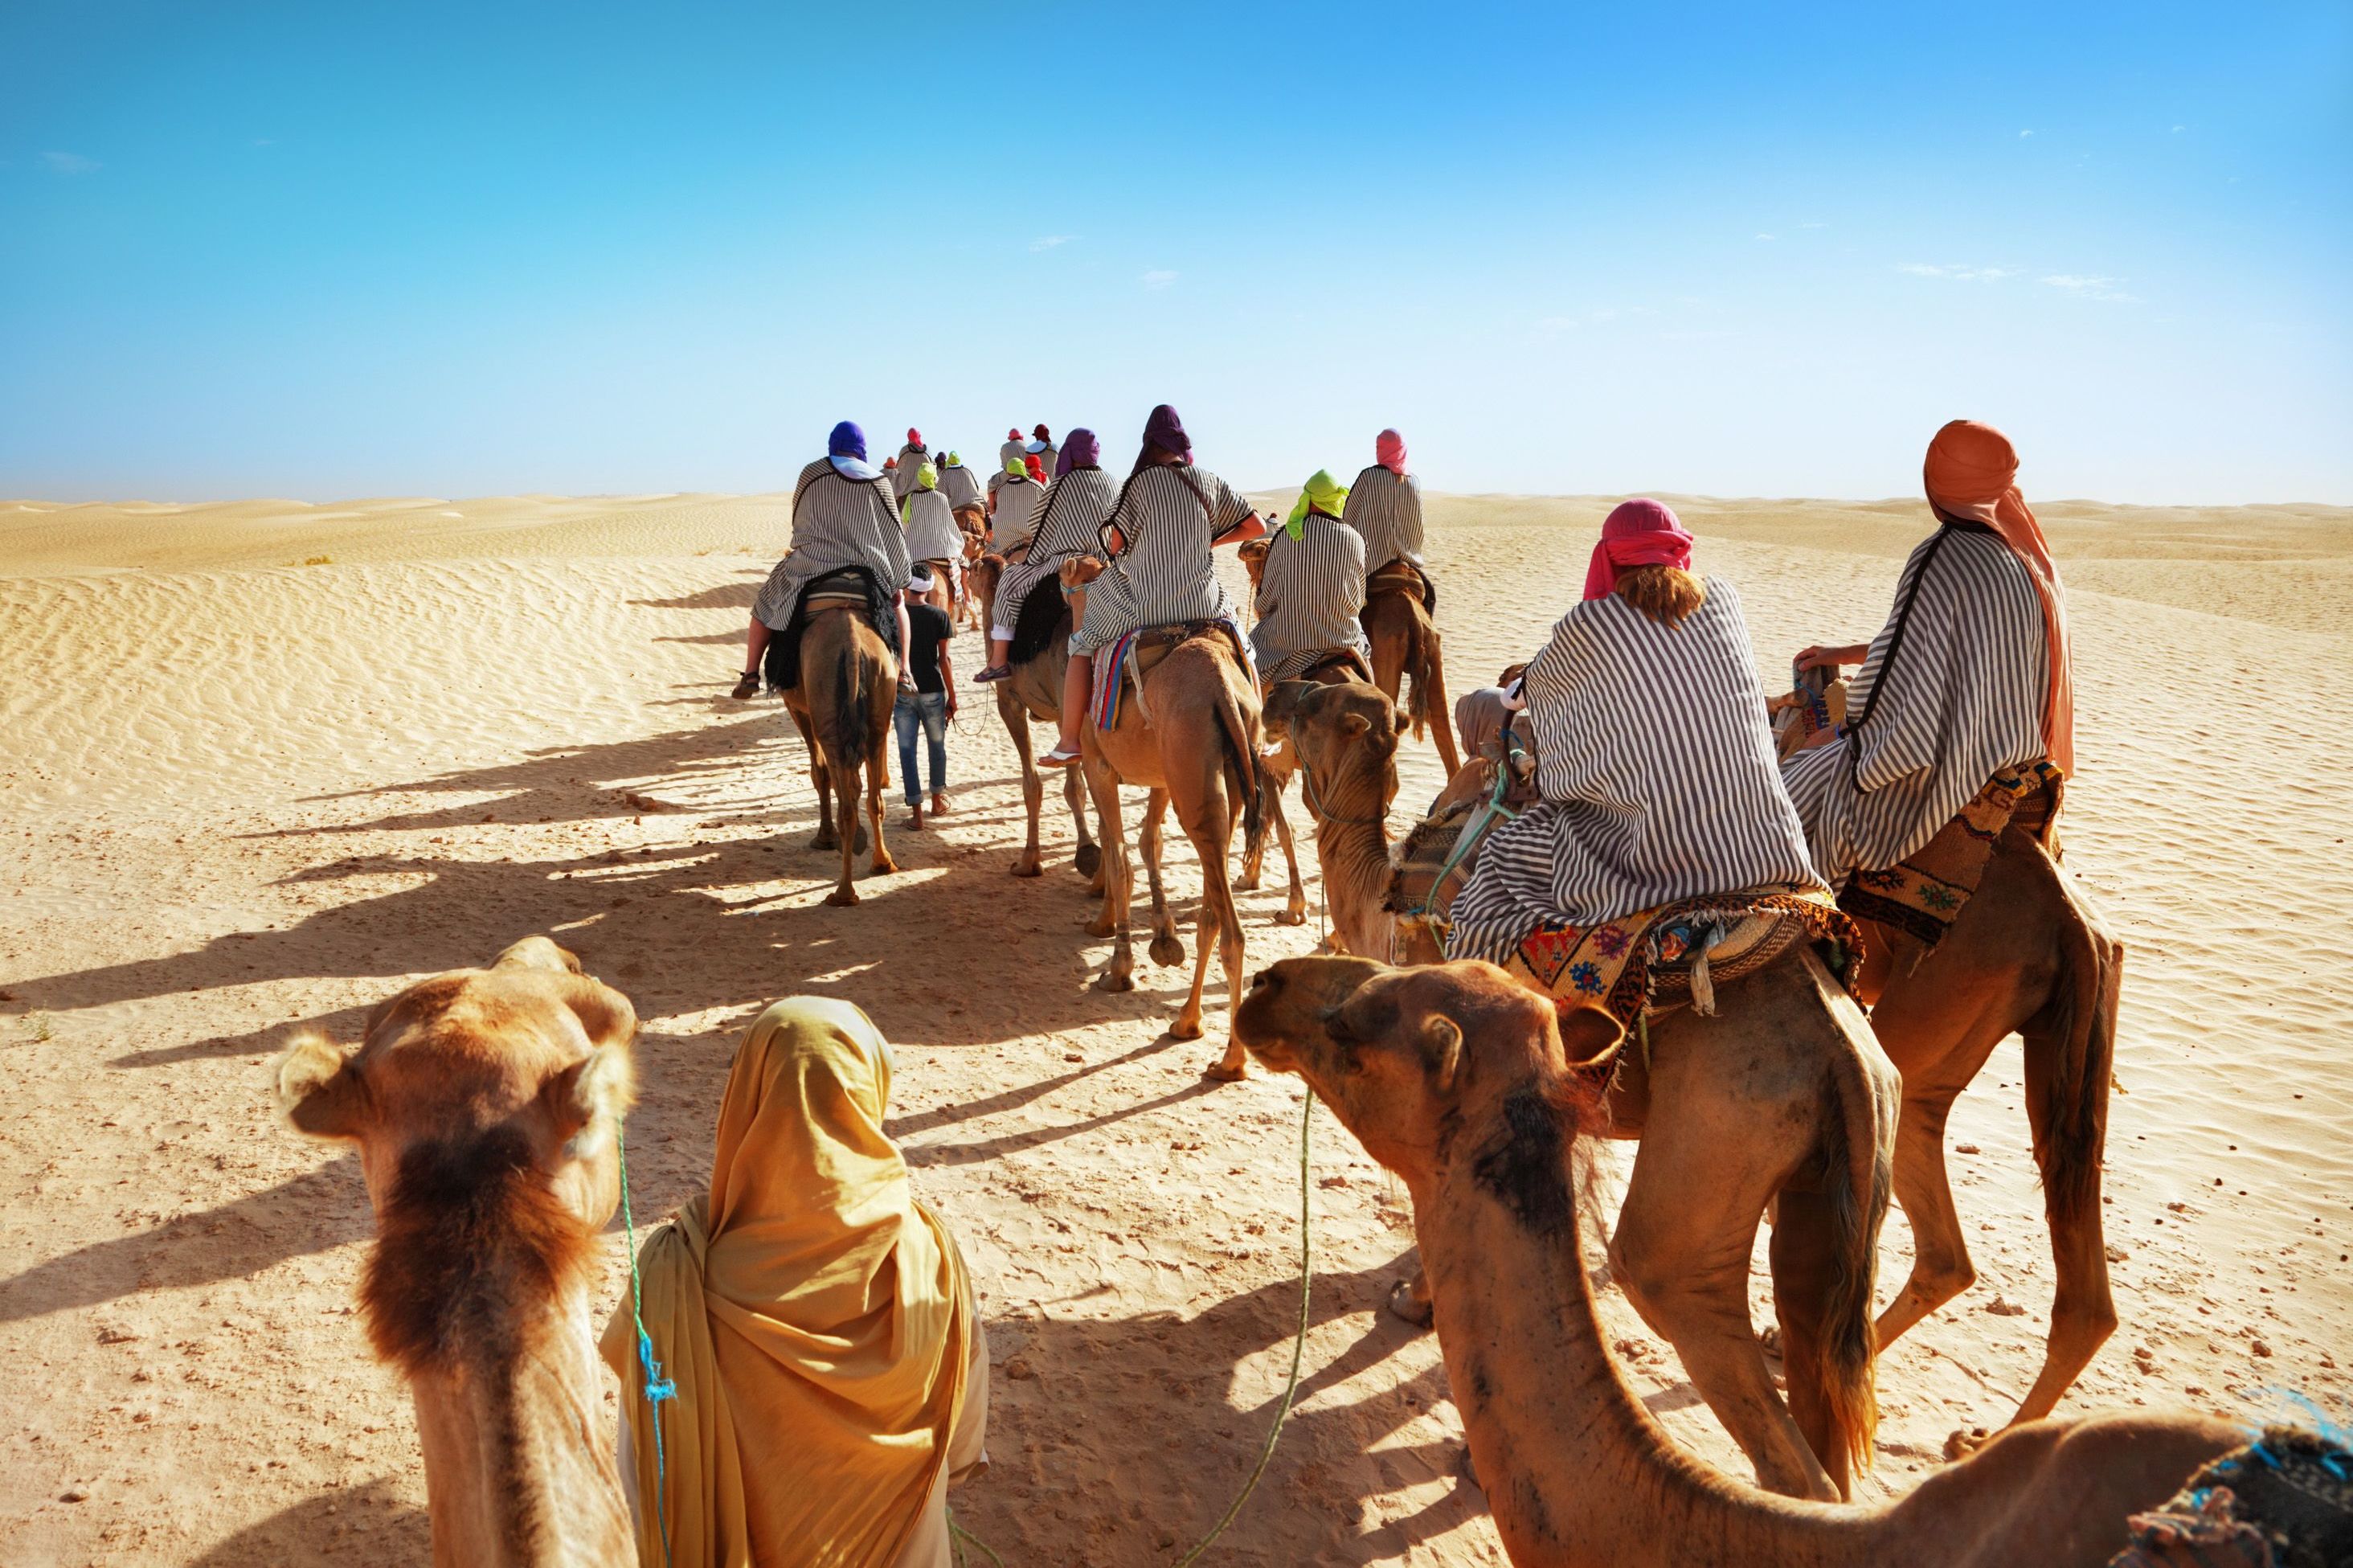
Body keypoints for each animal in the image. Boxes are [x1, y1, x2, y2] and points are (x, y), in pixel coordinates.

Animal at [781, 598, 901, 905]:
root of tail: (853, 648)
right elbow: (854, 783)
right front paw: (858, 840)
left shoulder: (799, 708)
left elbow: (820, 774)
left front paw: (824, 838)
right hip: (879, 704)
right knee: (875, 799)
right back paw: (883, 862)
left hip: (827, 718)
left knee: (843, 800)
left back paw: (843, 893)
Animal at [965, 549, 1101, 881]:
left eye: (973, 569)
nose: (964, 572)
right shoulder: (1060, 715)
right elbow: (1075, 786)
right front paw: (1087, 852)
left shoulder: (1010, 702)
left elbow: (1033, 784)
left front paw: (1029, 860)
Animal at [1262, 678, 1900, 1502]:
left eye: (1316, 703)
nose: (1276, 691)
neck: (1387, 896)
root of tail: (1849, 1057)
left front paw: (1412, 1304)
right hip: (1830, 1186)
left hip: (1715, 1154)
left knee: (1672, 1294)